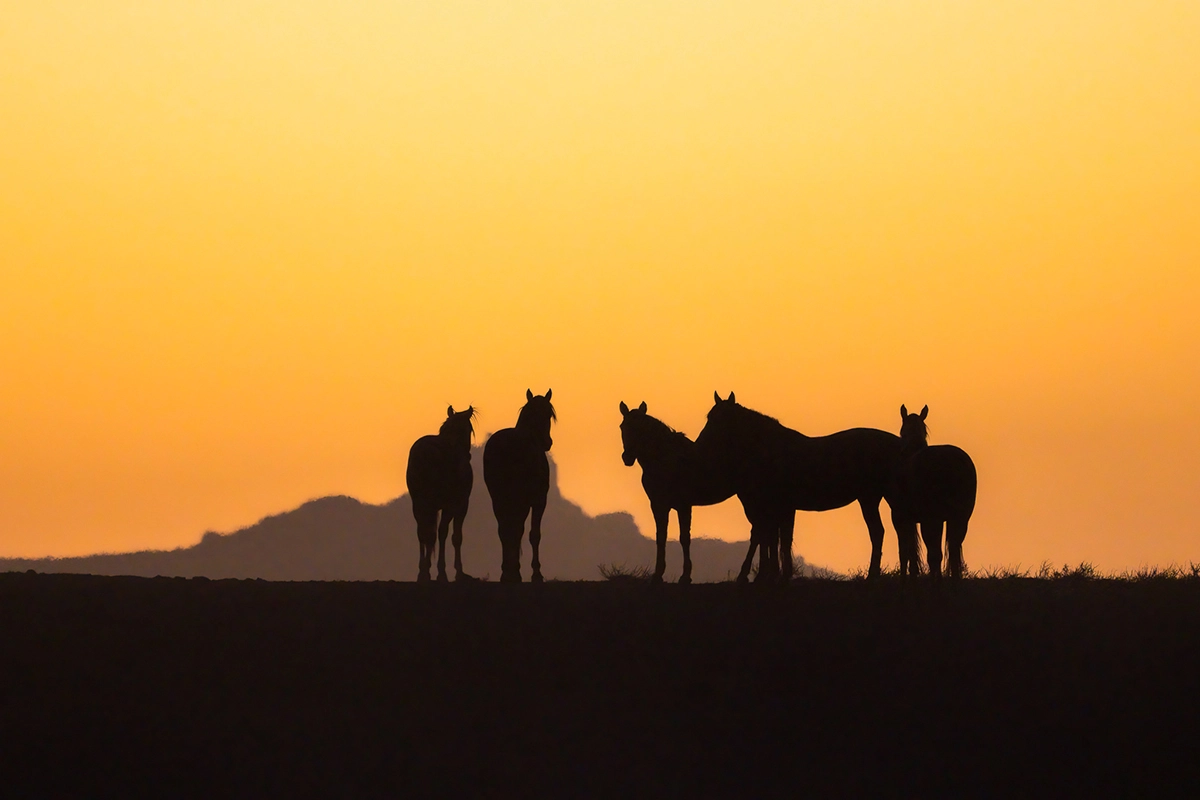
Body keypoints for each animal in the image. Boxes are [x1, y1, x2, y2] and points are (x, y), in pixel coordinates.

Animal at [406, 405, 477, 582]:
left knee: (422, 532)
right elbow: (453, 536)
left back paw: (423, 572)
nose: (468, 456)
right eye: (469, 429)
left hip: (418, 503)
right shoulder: (459, 504)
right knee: (432, 533)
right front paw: (454, 572)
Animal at [483, 389, 556, 583]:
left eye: (549, 414)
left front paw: (512, 569)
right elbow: (533, 534)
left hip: (498, 498)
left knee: (504, 529)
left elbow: (515, 530)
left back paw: (507, 572)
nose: (547, 442)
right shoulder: (538, 500)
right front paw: (536, 573)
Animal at [619, 401, 789, 584]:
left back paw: (749, 575)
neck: (666, 459)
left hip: (751, 499)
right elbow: (661, 537)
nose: (627, 458)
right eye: (622, 426)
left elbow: (684, 538)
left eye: (640, 427)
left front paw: (685, 575)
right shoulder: (658, 505)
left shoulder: (683, 505)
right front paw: (658, 574)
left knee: (760, 531)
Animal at [695, 392, 909, 580]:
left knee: (883, 532)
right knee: (882, 532)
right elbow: (778, 539)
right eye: (709, 417)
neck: (772, 451)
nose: (699, 444)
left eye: (720, 419)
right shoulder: (780, 507)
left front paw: (777, 575)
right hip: (871, 498)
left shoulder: (782, 507)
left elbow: (779, 539)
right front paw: (777, 574)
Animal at [891, 405, 977, 579]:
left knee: (935, 554)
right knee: (953, 551)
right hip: (960, 518)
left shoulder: (900, 517)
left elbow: (906, 551)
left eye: (901, 431)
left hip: (931, 519)